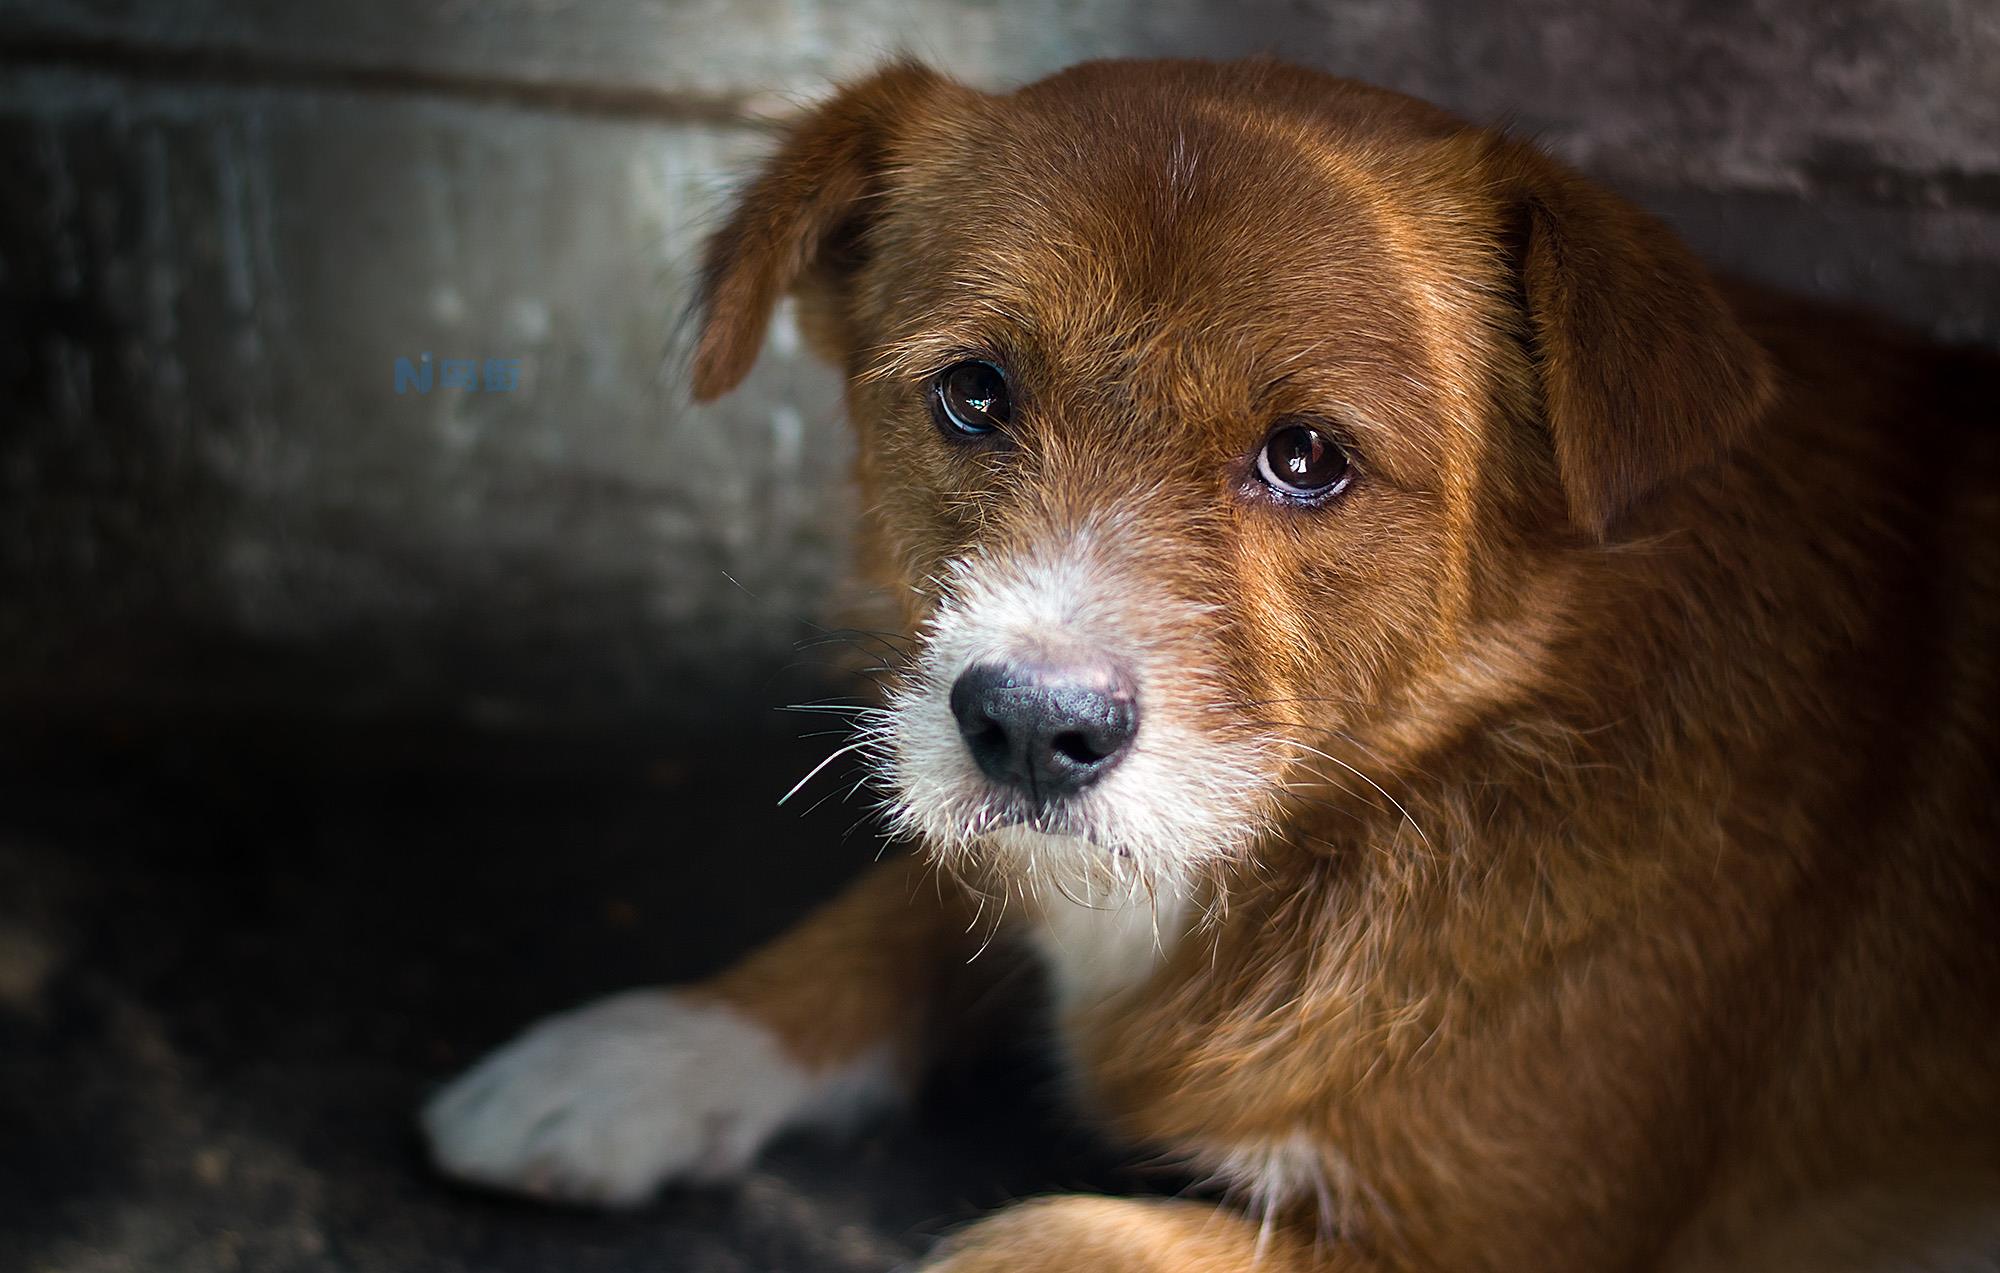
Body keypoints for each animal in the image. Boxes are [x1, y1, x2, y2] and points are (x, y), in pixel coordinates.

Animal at [422, 57, 2000, 1264]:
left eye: (1306, 458)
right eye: (973, 394)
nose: (1027, 728)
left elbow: (1041, 1233)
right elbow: (910, 900)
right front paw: (640, 1051)